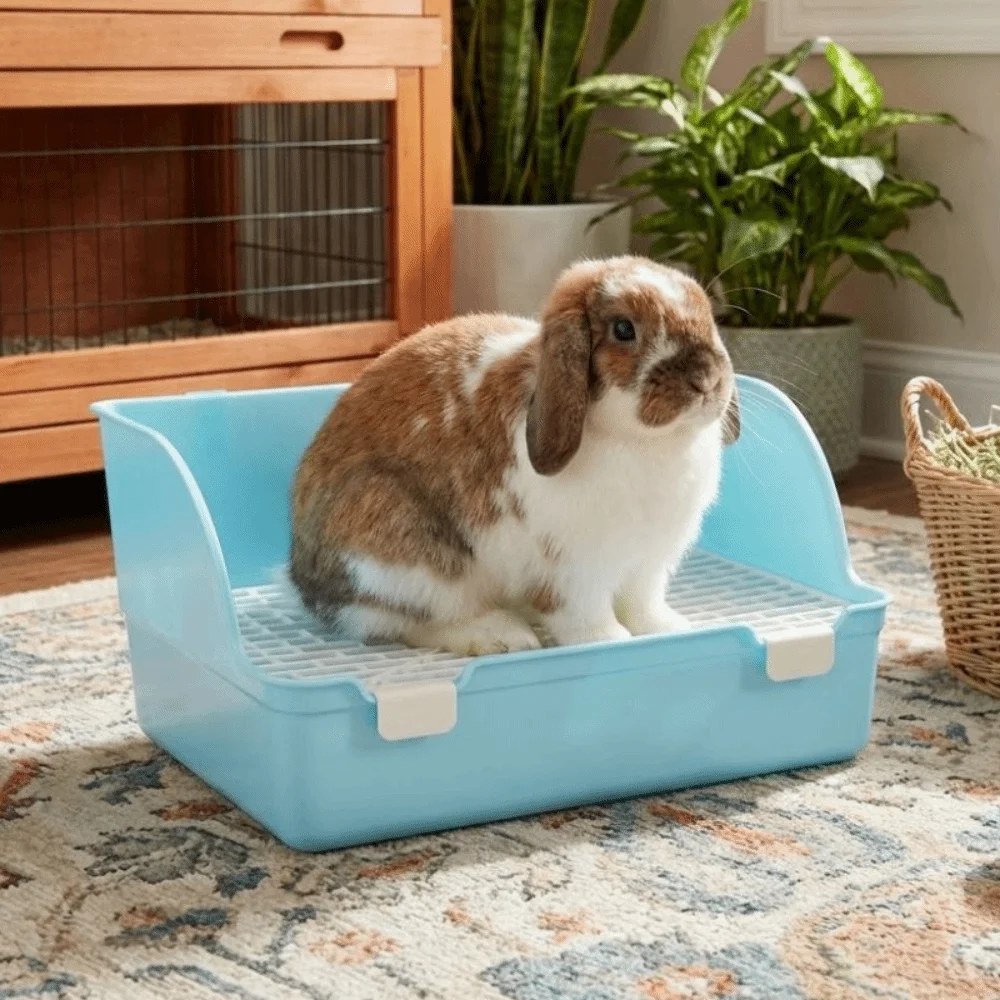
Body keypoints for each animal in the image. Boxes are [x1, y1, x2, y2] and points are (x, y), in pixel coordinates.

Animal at [289, 255, 740, 656]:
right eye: (624, 329)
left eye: (707, 315)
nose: (705, 380)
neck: (647, 441)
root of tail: (303, 580)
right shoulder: (573, 568)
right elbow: (583, 614)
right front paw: (607, 641)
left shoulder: (648, 563)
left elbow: (642, 604)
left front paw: (668, 630)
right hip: (400, 552)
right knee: (410, 622)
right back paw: (501, 636)